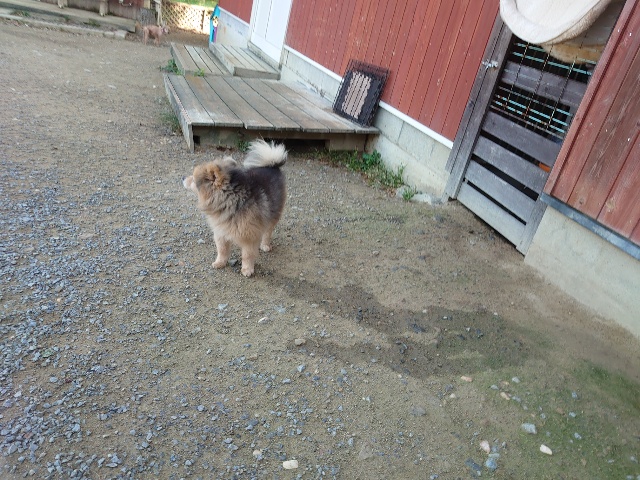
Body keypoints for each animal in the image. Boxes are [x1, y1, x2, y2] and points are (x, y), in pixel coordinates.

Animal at [183, 140, 287, 277]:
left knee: (267, 231)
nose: (183, 178)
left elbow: (247, 255)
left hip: (273, 214)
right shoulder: (221, 232)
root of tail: (272, 166)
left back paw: (265, 245)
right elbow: (222, 250)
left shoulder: (249, 237)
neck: (230, 202)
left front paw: (247, 269)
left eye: (194, 180)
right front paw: (220, 263)